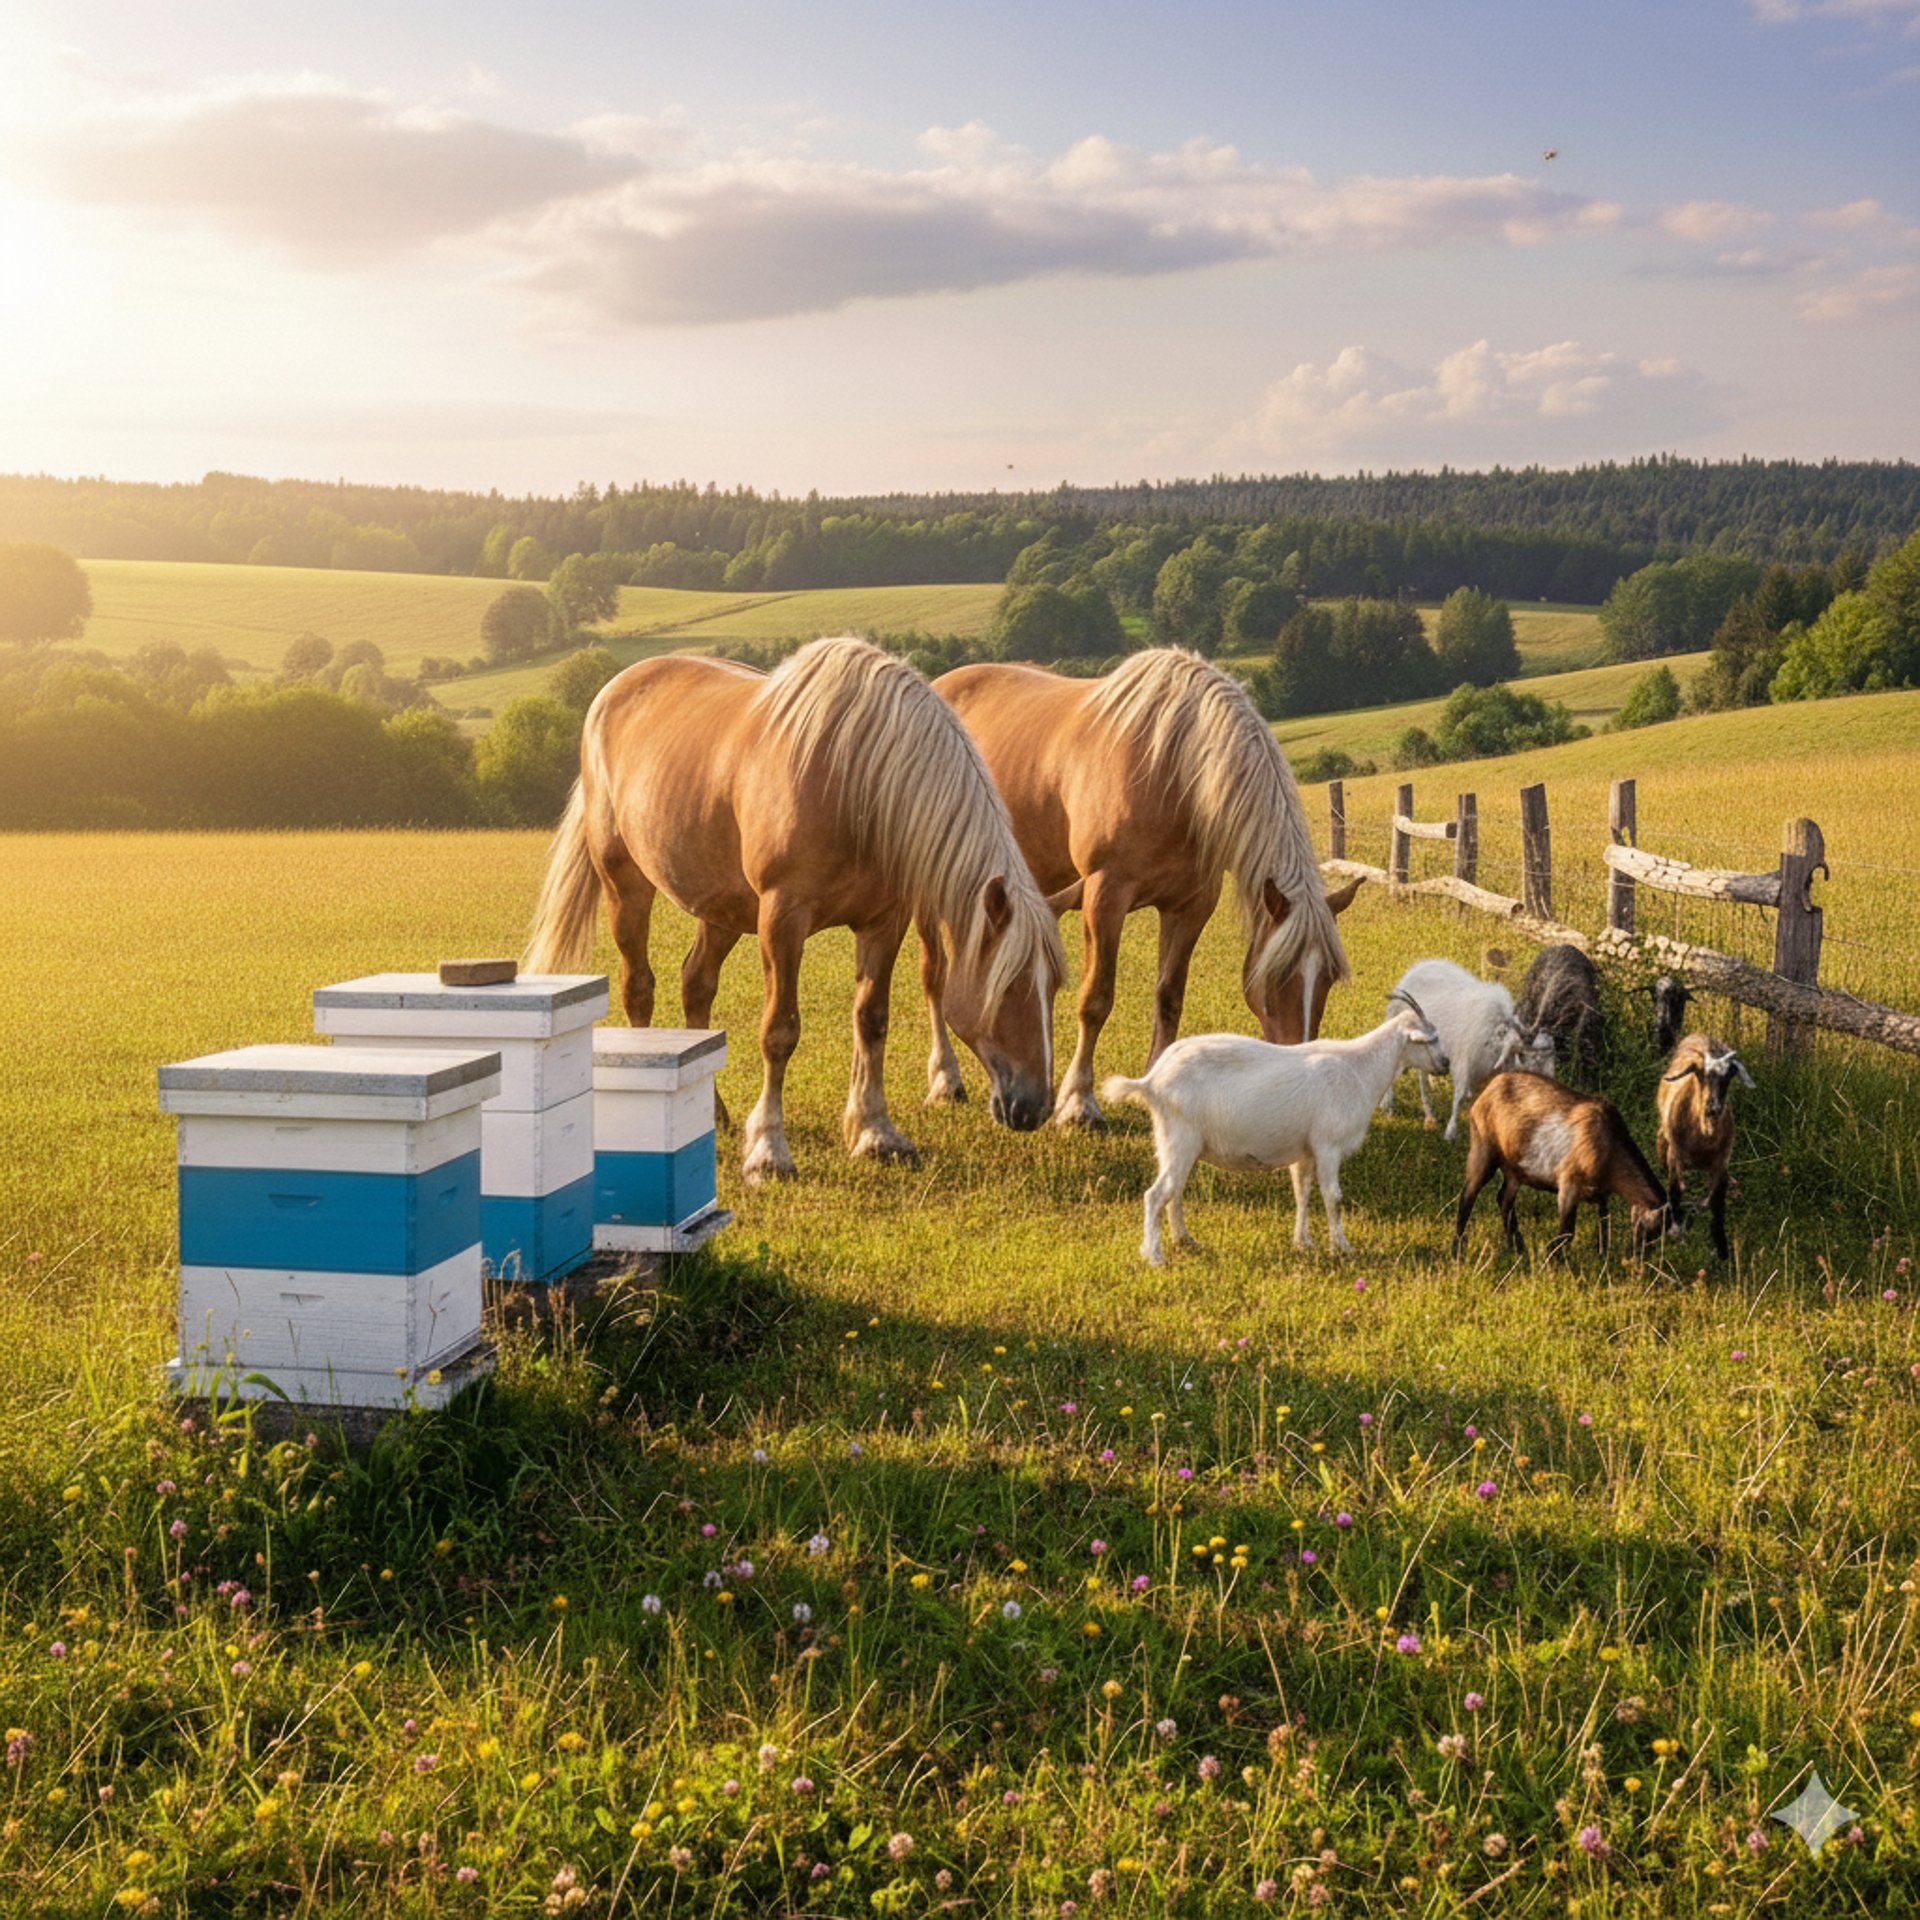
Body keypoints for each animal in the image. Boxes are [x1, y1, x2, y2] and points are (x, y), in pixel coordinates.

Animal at [525, 636, 1064, 1183]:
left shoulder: (883, 922)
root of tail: (612, 691)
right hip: (625, 884)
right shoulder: (782, 920)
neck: (855, 779)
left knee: (696, 984)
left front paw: (875, 1133)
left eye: (1055, 986)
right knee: (639, 988)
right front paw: (769, 1151)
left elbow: (872, 1020)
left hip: (721, 907)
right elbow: (779, 1032)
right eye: (1011, 985)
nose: (1035, 1106)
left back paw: (712, 1110)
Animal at [920, 648, 1359, 1128]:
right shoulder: (1105, 895)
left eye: (1330, 977)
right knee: (935, 976)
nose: (1301, 1074)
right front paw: (1078, 1104)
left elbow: (1169, 998)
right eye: (1278, 976)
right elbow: (1095, 1000)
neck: (1173, 769)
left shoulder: (1191, 906)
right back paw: (946, 1080)